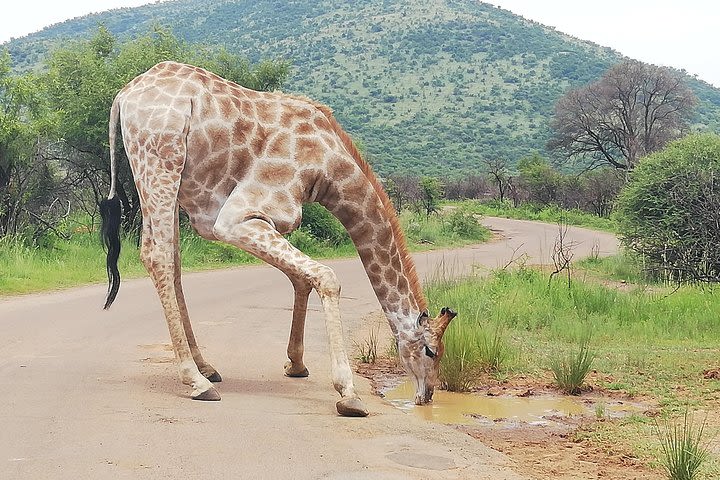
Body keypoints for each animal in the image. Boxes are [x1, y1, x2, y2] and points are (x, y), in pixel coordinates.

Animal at [100, 62, 456, 416]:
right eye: (431, 351)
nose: (427, 395)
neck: (329, 167)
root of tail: (122, 96)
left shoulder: (258, 221)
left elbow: (301, 278)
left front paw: (295, 364)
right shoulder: (236, 218)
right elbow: (326, 276)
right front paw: (347, 392)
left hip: (164, 180)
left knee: (172, 261)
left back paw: (206, 367)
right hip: (161, 162)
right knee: (156, 255)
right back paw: (196, 381)